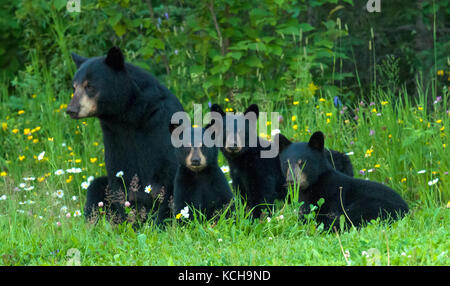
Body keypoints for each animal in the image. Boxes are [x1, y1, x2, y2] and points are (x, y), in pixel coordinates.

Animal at [67, 46, 184, 223]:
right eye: (74, 87)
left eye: (89, 86)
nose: (71, 109)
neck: (127, 114)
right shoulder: (113, 136)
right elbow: (117, 175)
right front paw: (125, 220)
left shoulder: (161, 125)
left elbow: (168, 172)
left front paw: (160, 222)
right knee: (95, 187)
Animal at [276, 131, 410, 229]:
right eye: (286, 163)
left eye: (303, 162)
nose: (291, 181)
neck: (314, 185)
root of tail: (406, 210)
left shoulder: (333, 197)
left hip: (374, 206)